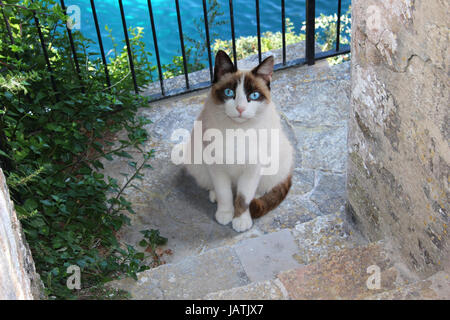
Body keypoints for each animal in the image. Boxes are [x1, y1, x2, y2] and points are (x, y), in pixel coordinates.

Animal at [185, 51, 294, 234]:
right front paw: (225, 214)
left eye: (254, 96)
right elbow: (224, 193)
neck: (238, 131)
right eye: (229, 93)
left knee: (261, 189)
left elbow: (243, 198)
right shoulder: (217, 166)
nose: (240, 109)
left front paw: (241, 220)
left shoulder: (252, 169)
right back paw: (214, 195)